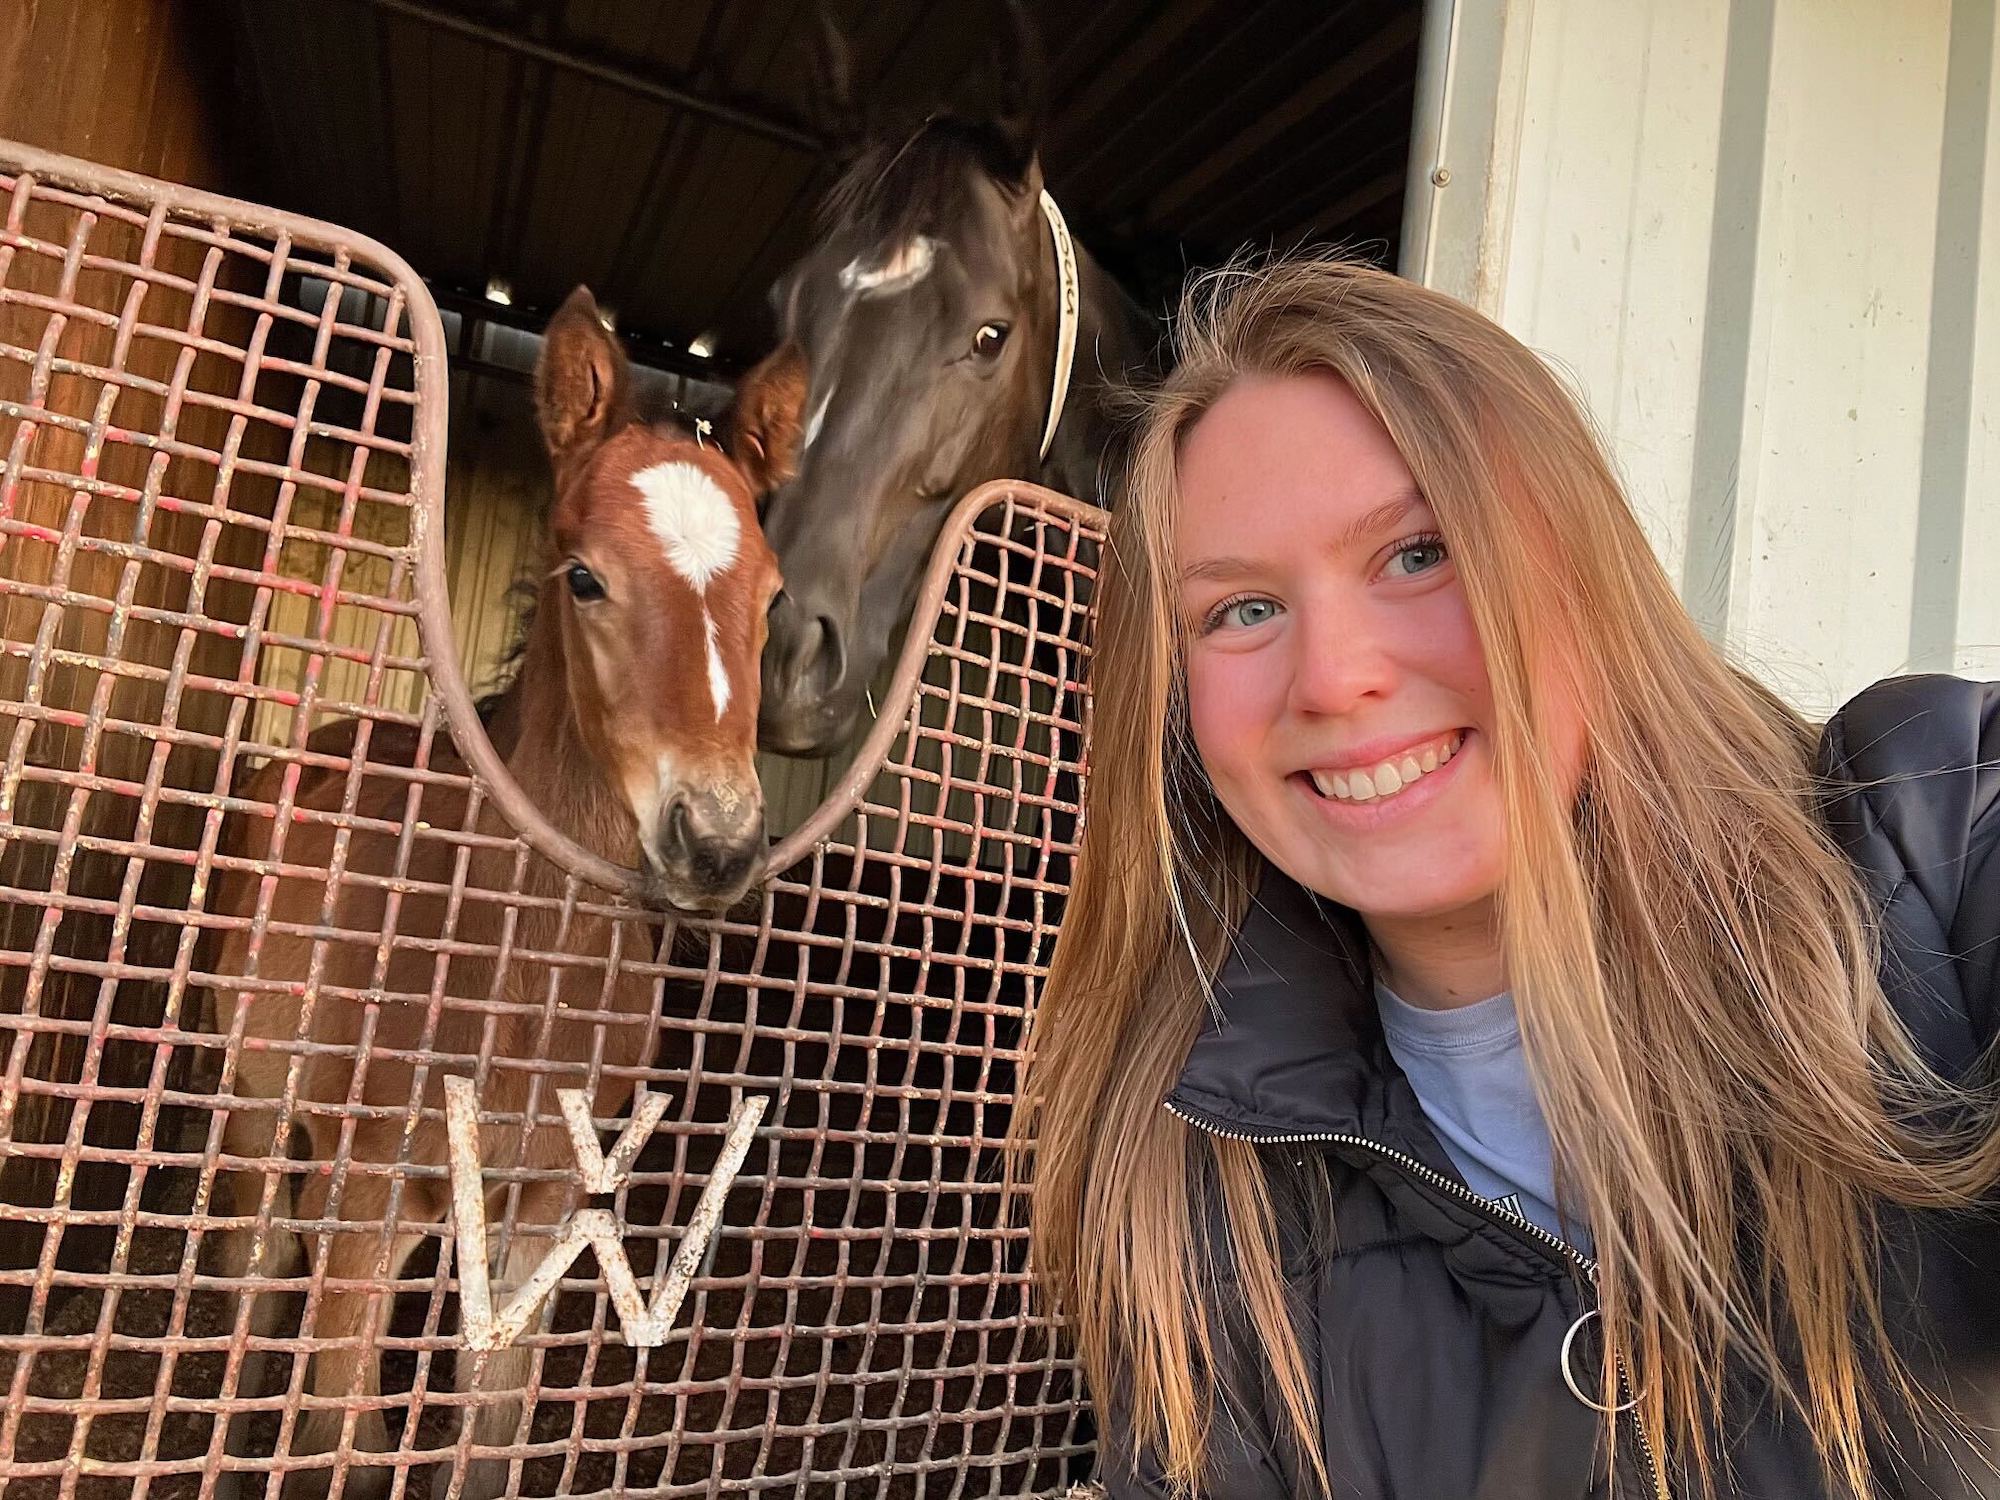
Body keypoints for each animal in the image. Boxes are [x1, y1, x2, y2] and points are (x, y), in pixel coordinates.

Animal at [213, 288, 780, 1496]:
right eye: (586, 577)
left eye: (770, 598)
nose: (714, 842)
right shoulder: (368, 1192)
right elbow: (339, 1428)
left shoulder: (547, 1208)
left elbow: (489, 1430)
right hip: (257, 1115)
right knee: (254, 1269)